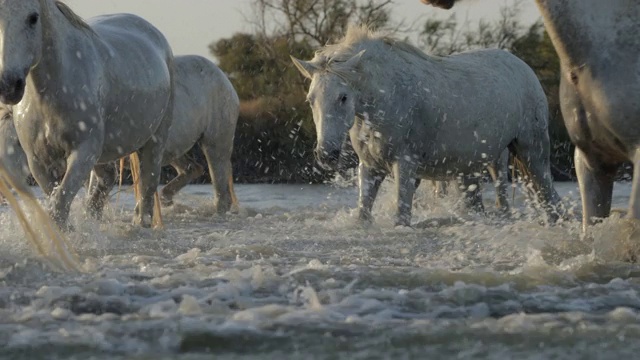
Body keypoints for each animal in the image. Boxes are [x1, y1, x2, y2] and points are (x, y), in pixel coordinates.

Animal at [0, 0, 174, 229]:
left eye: (33, 17)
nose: (9, 86)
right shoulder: (39, 161)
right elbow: (56, 199)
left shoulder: (84, 150)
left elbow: (60, 203)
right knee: (105, 181)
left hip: (155, 141)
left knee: (147, 188)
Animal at [292, 26, 564, 225]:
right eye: (311, 99)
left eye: (343, 97)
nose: (326, 154)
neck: (385, 99)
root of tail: (525, 68)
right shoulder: (370, 168)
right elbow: (363, 215)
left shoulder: (405, 165)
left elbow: (401, 217)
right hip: (472, 169)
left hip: (528, 155)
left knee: (539, 198)